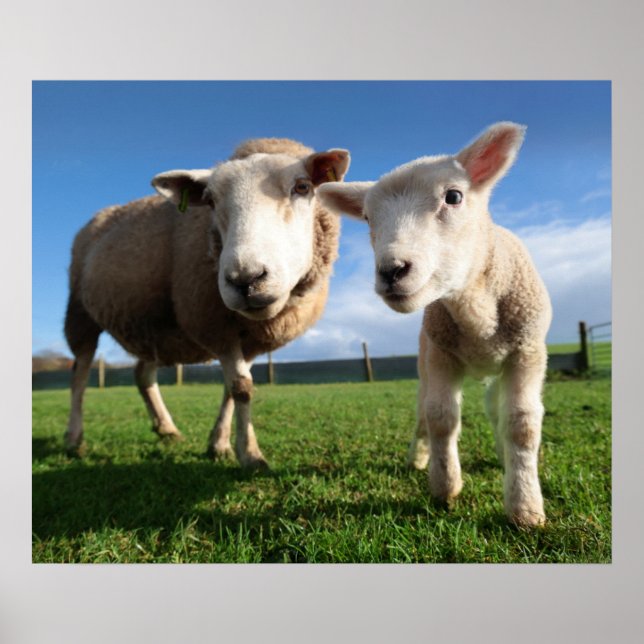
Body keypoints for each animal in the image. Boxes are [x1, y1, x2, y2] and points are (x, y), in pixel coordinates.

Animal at [64, 138, 350, 469]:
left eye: (302, 187)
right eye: (210, 201)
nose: (246, 279)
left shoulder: (248, 338)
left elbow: (233, 387)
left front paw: (220, 444)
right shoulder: (214, 325)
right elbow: (241, 388)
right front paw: (251, 455)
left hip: (154, 324)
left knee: (142, 374)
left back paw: (166, 429)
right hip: (80, 312)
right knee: (80, 374)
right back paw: (74, 438)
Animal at [317, 123, 552, 527]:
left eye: (454, 196)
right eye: (367, 218)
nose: (392, 271)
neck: (475, 310)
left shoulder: (527, 352)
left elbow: (521, 424)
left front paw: (525, 507)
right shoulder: (441, 355)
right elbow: (441, 417)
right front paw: (445, 487)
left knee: (496, 409)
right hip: (424, 360)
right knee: (423, 412)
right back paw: (418, 457)